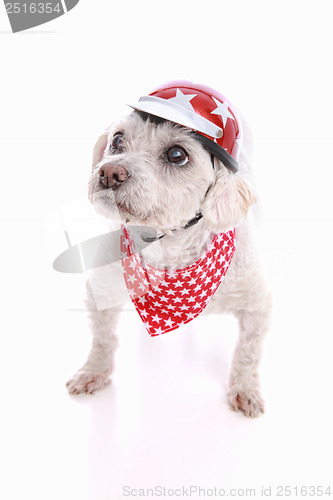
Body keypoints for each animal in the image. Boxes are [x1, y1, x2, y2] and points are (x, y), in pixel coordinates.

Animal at [66, 82, 272, 418]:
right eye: (117, 140)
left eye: (177, 154)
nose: (109, 172)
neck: (166, 249)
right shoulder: (101, 291)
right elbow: (103, 339)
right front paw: (94, 372)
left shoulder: (258, 305)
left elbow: (248, 353)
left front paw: (245, 390)